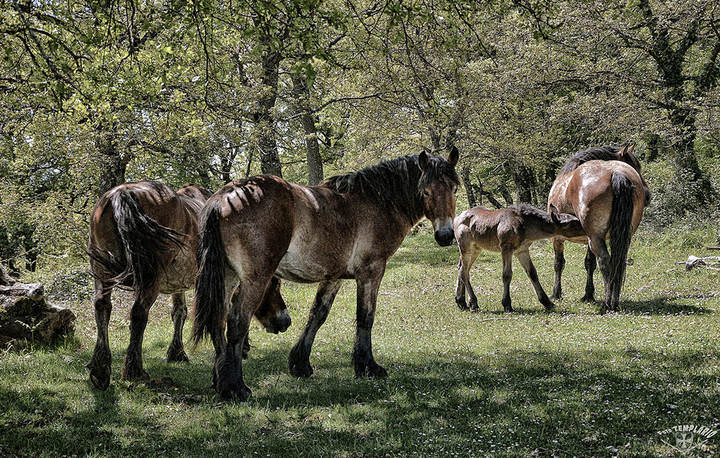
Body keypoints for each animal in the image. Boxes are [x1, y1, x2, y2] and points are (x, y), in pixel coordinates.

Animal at [87, 181, 291, 390]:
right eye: (275, 285)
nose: (285, 321)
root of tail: (122, 193)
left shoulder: (178, 286)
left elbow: (179, 313)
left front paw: (177, 352)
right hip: (149, 278)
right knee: (139, 313)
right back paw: (134, 370)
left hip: (101, 270)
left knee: (102, 306)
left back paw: (100, 368)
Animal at [191, 149, 460, 400]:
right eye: (426, 191)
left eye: (455, 189)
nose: (445, 235)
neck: (378, 201)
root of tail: (225, 197)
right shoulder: (371, 271)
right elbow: (365, 317)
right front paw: (367, 367)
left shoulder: (334, 277)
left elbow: (318, 315)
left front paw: (300, 363)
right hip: (255, 279)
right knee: (237, 321)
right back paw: (235, 387)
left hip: (228, 277)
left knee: (219, 321)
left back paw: (220, 380)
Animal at [454, 204, 586, 313]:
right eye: (574, 223)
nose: (587, 227)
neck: (526, 228)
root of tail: (456, 218)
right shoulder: (506, 248)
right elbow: (507, 275)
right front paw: (507, 304)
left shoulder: (522, 250)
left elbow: (532, 273)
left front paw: (547, 302)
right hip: (466, 248)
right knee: (464, 272)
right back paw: (473, 302)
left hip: (476, 249)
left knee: (461, 269)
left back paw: (461, 301)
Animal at [547, 144, 650, 312]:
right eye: (636, 165)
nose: (648, 195)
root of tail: (617, 174)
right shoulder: (588, 239)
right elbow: (589, 263)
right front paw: (588, 295)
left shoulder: (558, 238)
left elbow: (559, 263)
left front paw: (556, 293)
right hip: (620, 238)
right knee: (618, 262)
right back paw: (615, 300)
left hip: (595, 238)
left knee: (605, 262)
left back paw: (609, 303)